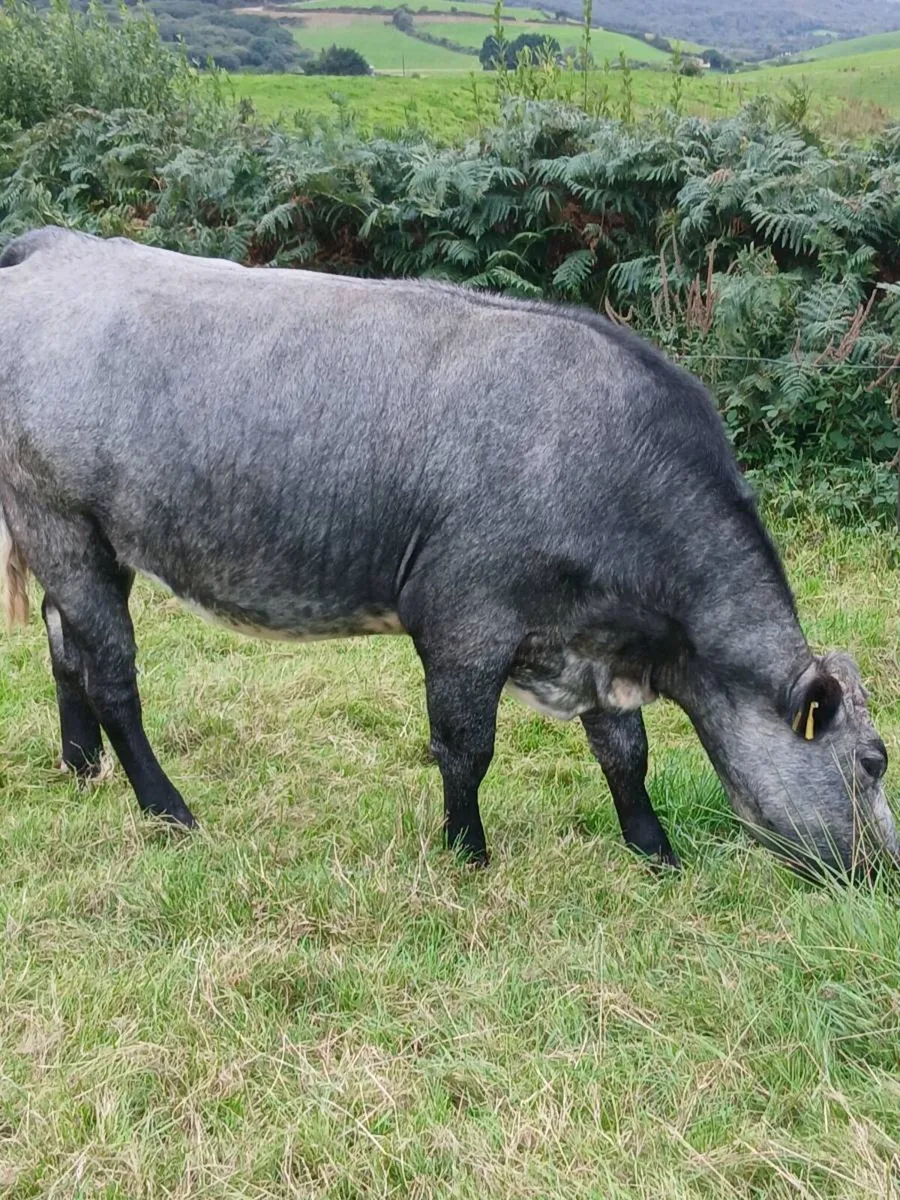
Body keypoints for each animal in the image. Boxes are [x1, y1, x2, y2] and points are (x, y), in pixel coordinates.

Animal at [0, 226, 896, 877]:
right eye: (875, 760)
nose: (886, 872)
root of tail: (54, 245)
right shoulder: (466, 618)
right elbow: (467, 747)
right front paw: (468, 853)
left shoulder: (594, 642)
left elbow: (626, 754)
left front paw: (655, 851)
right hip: (58, 515)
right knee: (112, 676)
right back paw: (167, 808)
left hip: (89, 535)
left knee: (63, 644)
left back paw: (81, 766)